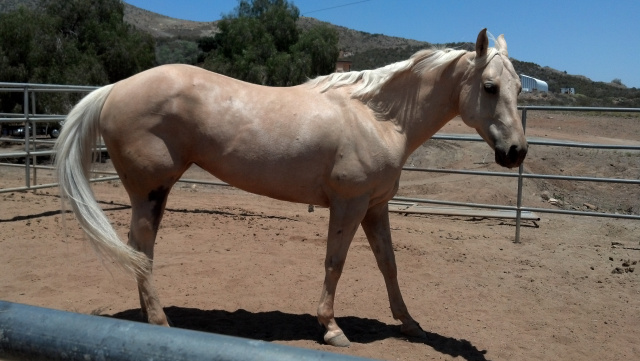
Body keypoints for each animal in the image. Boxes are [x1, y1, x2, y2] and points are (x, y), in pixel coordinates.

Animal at [56, 28, 524, 346]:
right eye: (489, 87)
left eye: (519, 87)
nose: (516, 151)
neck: (379, 118)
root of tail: (114, 88)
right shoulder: (349, 204)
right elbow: (335, 263)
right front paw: (332, 329)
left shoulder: (375, 206)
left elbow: (388, 264)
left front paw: (409, 323)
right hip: (151, 191)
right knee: (141, 248)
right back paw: (159, 321)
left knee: (139, 252)